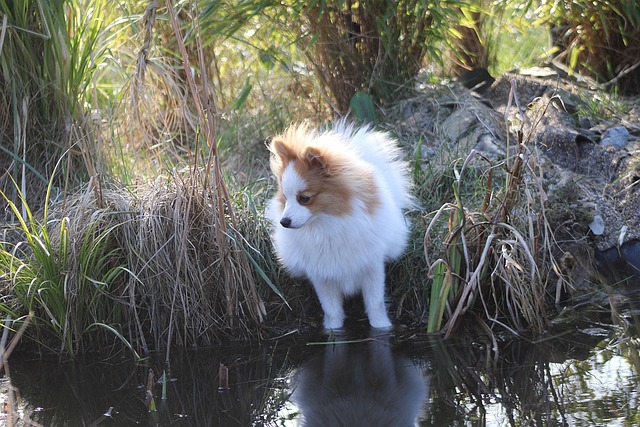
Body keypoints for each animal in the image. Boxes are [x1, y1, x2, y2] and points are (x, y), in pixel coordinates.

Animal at [266, 122, 412, 330]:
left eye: (304, 198)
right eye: (285, 199)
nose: (284, 222)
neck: (327, 224)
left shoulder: (372, 267)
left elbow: (375, 304)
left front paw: (382, 327)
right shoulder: (322, 276)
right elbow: (331, 309)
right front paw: (332, 330)